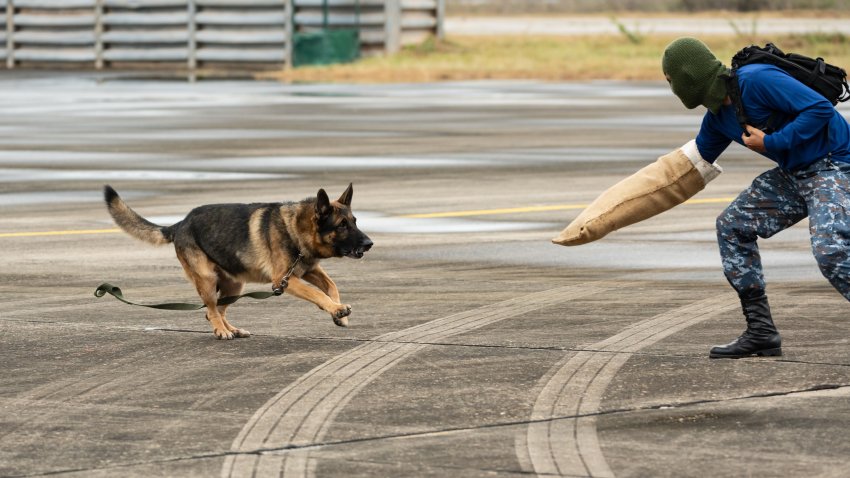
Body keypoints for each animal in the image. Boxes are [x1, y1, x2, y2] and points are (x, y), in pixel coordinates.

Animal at [102, 184, 372, 340]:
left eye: (355, 221)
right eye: (342, 226)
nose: (370, 243)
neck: (295, 228)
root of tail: (180, 223)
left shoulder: (310, 270)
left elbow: (331, 286)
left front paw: (339, 313)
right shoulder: (285, 280)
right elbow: (317, 293)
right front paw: (335, 309)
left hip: (234, 284)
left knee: (215, 311)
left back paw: (231, 329)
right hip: (208, 280)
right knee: (211, 309)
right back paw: (222, 331)